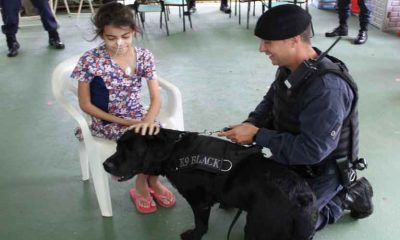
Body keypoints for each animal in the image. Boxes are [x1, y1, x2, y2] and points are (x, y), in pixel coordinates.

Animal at [104, 129, 318, 240]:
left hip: (258, 229)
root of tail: (302, 199)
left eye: (131, 150)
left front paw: (194, 235)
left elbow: (201, 223)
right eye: (117, 146)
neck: (174, 152)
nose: (105, 164)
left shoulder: (199, 202)